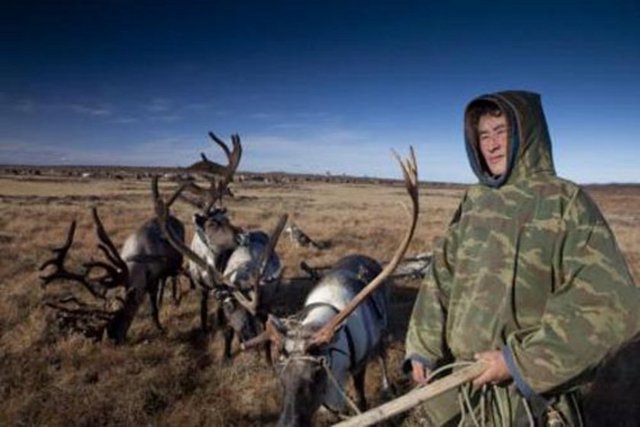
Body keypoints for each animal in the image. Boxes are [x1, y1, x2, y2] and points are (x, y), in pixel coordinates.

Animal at [39, 198, 186, 344]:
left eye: (122, 311)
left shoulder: (153, 278)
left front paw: (159, 327)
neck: (139, 261)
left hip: (175, 264)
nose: (112, 338)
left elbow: (153, 306)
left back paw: (174, 299)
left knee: (172, 278)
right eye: (109, 307)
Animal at [241, 148, 419, 426]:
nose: (288, 423)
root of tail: (365, 256)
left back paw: (387, 386)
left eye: (315, 375)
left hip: (383, 326)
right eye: (280, 375)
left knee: (382, 353)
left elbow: (362, 403)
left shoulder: (358, 368)